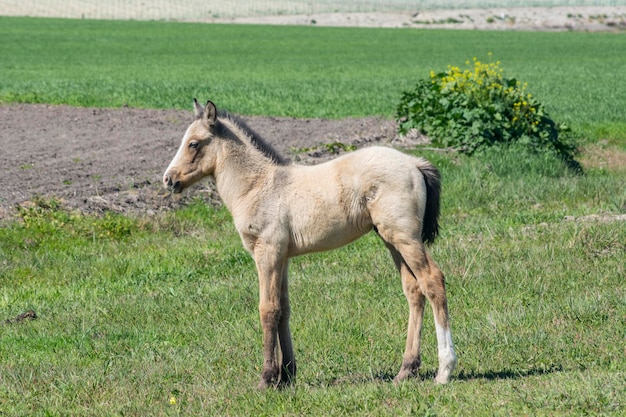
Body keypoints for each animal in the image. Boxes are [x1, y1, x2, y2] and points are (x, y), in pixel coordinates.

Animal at [162, 99, 454, 388]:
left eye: (193, 143)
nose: (168, 179)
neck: (258, 186)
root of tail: (414, 163)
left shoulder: (267, 253)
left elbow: (268, 309)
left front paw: (267, 378)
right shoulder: (282, 257)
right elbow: (283, 308)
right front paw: (287, 375)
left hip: (405, 238)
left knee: (432, 280)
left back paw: (444, 371)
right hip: (391, 239)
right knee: (413, 289)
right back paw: (406, 369)